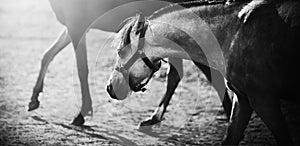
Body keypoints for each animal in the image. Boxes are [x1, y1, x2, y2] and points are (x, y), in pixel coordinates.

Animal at [106, 0, 300, 145]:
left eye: (120, 52)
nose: (109, 87)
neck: (233, 33)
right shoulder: (244, 99)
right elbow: (231, 138)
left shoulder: (264, 101)